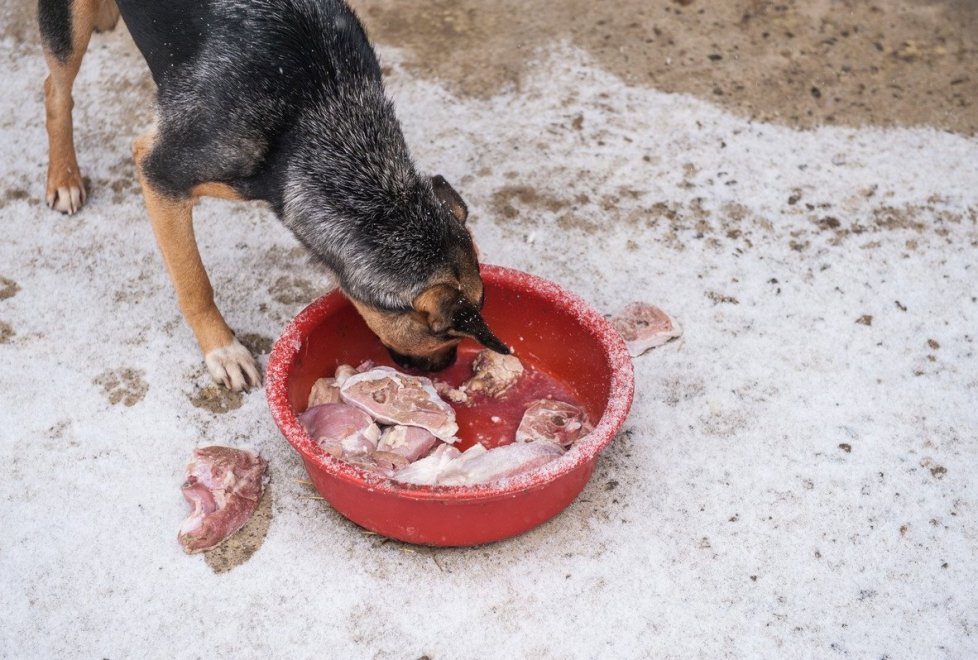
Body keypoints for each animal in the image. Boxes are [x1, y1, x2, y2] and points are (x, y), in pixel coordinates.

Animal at [38, 0, 510, 392]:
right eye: (445, 335)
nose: (445, 367)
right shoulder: (161, 173)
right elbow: (195, 282)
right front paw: (223, 350)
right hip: (68, 25)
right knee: (55, 89)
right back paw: (64, 176)